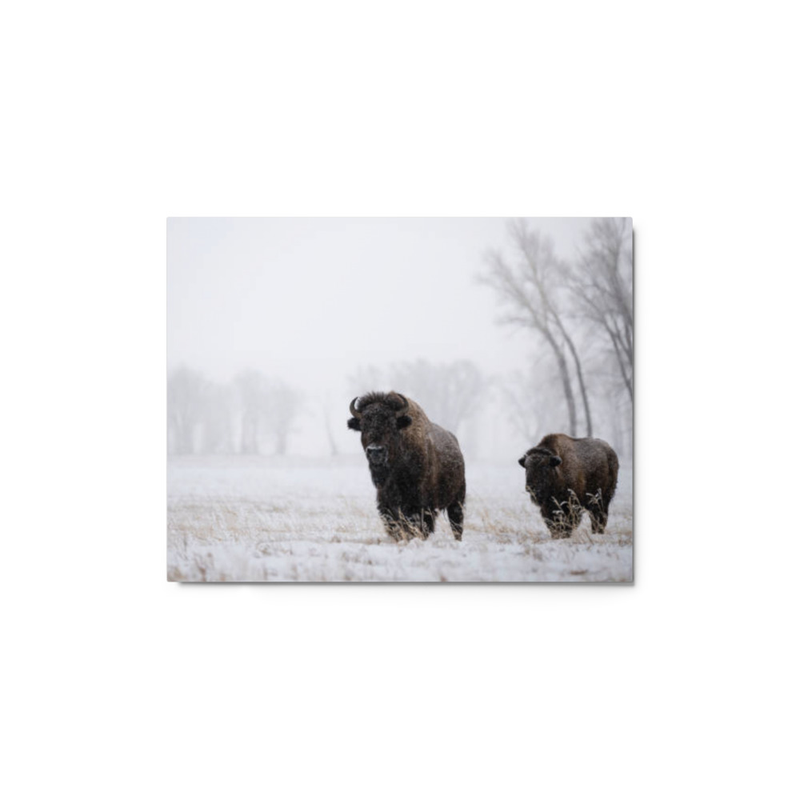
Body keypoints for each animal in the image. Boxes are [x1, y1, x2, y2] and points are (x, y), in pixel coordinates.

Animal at [348, 392, 466, 541]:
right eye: (363, 425)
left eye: (392, 424)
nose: (375, 451)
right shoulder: (386, 504)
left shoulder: (421, 506)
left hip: (457, 500)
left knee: (457, 525)